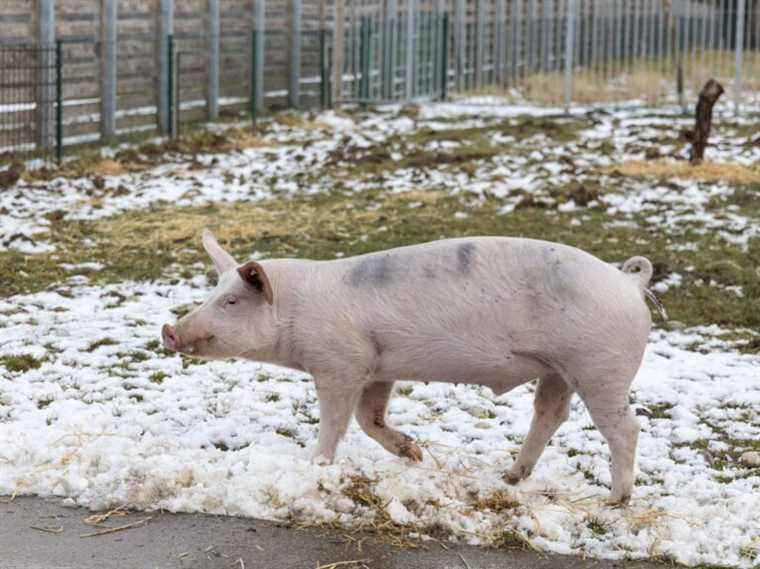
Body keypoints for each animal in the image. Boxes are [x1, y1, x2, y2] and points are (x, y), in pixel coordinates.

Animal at [163, 229, 656, 504]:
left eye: (230, 301)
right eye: (212, 293)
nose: (169, 330)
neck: (296, 311)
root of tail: (629, 282)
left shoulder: (339, 363)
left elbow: (336, 419)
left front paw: (316, 464)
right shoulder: (379, 367)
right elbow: (370, 418)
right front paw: (415, 455)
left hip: (601, 367)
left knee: (624, 428)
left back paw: (615, 500)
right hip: (558, 370)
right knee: (551, 414)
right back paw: (510, 477)